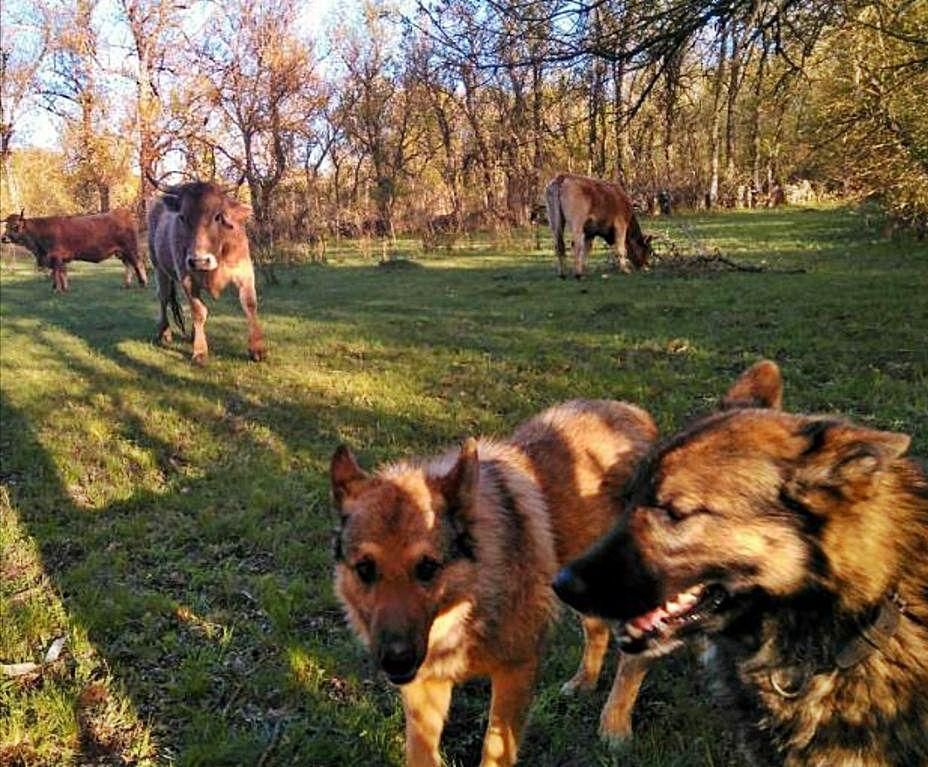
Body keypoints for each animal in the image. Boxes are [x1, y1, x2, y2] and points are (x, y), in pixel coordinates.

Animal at [0, 208, 147, 292]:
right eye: (6, 226)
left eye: (15, 226)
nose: (3, 238)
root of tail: (123, 213)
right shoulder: (61, 259)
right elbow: (63, 273)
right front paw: (65, 288)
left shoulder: (55, 257)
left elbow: (56, 273)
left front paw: (56, 289)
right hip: (122, 252)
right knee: (128, 265)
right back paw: (126, 285)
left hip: (131, 248)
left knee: (138, 264)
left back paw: (143, 283)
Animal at [148, 184, 264, 368]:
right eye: (182, 217)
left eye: (218, 216)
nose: (199, 261)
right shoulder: (187, 278)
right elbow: (198, 311)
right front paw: (200, 352)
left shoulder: (244, 272)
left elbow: (250, 305)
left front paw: (257, 349)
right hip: (158, 267)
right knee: (164, 297)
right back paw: (165, 332)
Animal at [330, 402, 656, 767]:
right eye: (365, 569)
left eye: (427, 567)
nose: (396, 660)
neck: (468, 602)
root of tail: (634, 412)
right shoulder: (425, 689)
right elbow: (421, 751)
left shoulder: (516, 671)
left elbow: (494, 748)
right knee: (597, 630)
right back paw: (584, 682)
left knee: (634, 661)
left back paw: (615, 725)